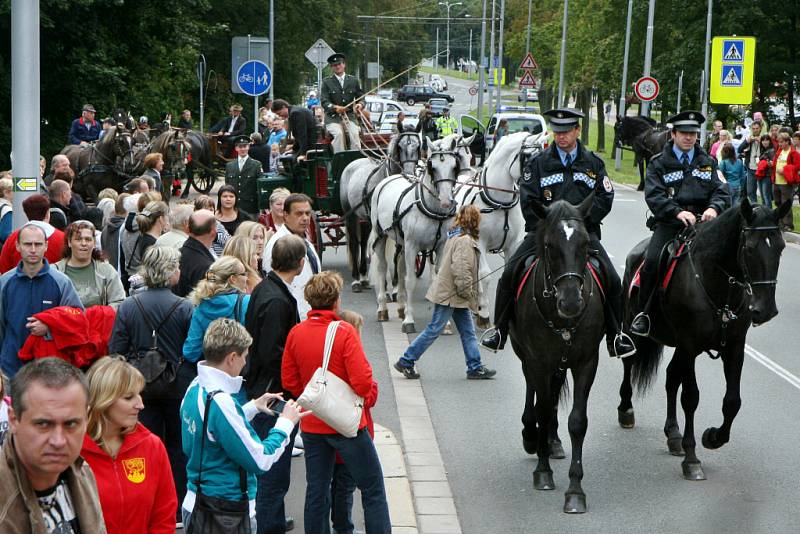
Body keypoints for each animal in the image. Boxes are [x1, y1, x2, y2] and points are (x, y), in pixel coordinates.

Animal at [340, 132, 422, 296]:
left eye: (418, 146)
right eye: (400, 146)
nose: (409, 173)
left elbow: (397, 252)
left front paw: (396, 287)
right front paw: (384, 285)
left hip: (365, 219)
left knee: (363, 242)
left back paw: (364, 277)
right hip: (351, 214)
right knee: (354, 243)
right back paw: (356, 280)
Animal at [368, 134, 466, 332]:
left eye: (455, 166)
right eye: (432, 167)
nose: (446, 202)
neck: (432, 210)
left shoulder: (441, 247)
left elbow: (437, 279)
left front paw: (445, 323)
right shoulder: (413, 245)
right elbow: (410, 282)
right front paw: (409, 320)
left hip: (401, 242)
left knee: (400, 267)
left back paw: (400, 307)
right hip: (381, 236)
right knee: (382, 267)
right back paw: (383, 308)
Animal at [454, 131, 548, 326]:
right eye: (528, 159)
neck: (499, 203)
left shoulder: (512, 245)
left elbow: (508, 273)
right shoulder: (480, 242)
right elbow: (485, 274)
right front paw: (484, 313)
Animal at [512, 196, 608, 516]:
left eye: (585, 244)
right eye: (550, 246)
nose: (571, 301)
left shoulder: (586, 363)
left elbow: (577, 421)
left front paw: (575, 491)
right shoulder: (538, 361)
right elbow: (541, 410)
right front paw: (543, 473)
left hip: (560, 365)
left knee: (553, 398)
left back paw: (552, 441)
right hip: (528, 359)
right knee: (535, 396)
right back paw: (532, 435)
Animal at [620, 199, 788, 484]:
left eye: (781, 247)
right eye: (749, 248)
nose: (765, 311)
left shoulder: (734, 348)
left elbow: (732, 401)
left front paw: (713, 437)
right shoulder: (690, 346)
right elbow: (691, 398)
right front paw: (692, 459)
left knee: (671, 378)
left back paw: (673, 434)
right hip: (633, 331)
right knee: (629, 363)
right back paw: (627, 411)